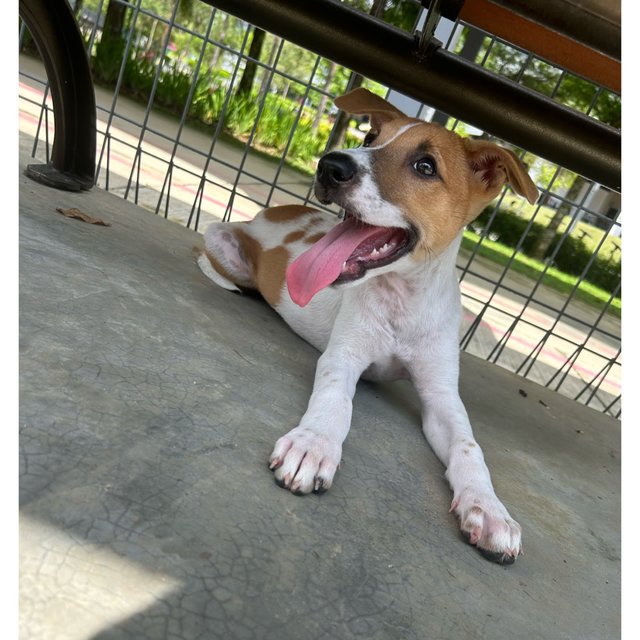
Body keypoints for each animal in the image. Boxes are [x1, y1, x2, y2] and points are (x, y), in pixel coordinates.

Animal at [198, 87, 536, 564]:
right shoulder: (342, 358)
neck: (402, 300)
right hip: (219, 239)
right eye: (370, 137)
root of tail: (274, 213)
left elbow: (470, 447)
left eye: (425, 166)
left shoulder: (442, 396)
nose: (329, 165)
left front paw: (489, 509)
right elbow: (335, 402)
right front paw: (313, 444)